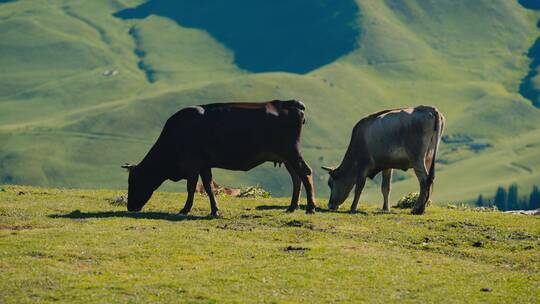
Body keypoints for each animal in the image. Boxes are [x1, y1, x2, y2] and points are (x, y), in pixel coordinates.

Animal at [122, 100, 316, 216]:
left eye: (134, 181)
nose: (130, 207)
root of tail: (292, 104)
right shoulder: (204, 165)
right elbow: (208, 187)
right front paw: (214, 210)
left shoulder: (192, 165)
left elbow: (191, 187)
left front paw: (185, 209)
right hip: (286, 157)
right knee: (296, 177)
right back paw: (292, 207)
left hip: (292, 153)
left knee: (306, 173)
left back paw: (310, 207)